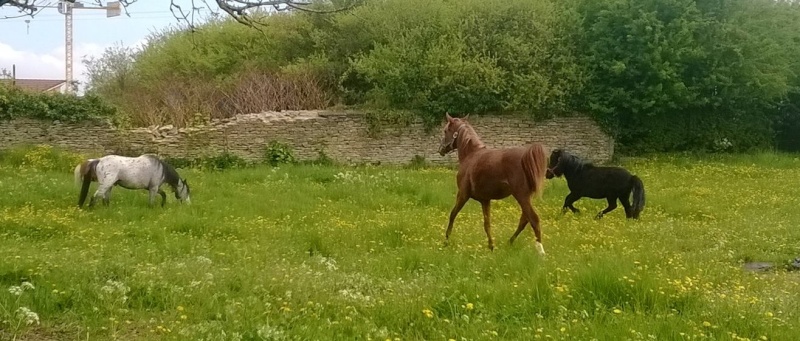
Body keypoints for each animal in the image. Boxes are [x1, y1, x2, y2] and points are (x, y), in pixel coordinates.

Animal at [438, 114, 552, 255]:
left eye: (445, 130)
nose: (441, 150)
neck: (471, 155)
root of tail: (525, 156)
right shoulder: (485, 200)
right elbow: (487, 224)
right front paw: (491, 246)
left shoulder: (463, 194)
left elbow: (452, 215)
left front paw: (446, 241)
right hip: (525, 197)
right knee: (524, 220)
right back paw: (509, 242)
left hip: (521, 196)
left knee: (533, 219)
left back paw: (541, 251)